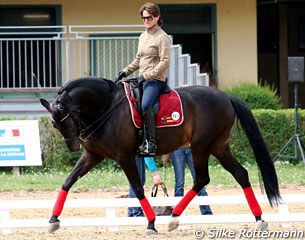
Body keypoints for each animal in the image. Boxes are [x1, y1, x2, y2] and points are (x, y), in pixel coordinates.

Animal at [39, 77, 280, 234]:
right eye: (54, 124)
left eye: (66, 120)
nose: (74, 146)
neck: (106, 107)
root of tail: (227, 96)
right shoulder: (92, 156)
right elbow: (68, 181)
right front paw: (53, 220)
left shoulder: (125, 156)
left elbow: (137, 189)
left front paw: (151, 224)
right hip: (219, 147)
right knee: (240, 174)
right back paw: (259, 219)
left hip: (201, 147)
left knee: (202, 179)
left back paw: (173, 219)